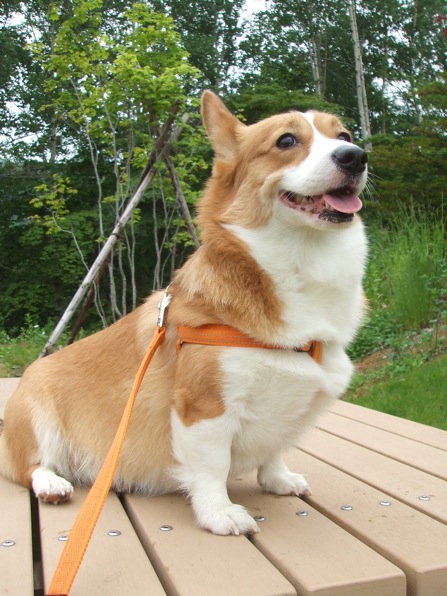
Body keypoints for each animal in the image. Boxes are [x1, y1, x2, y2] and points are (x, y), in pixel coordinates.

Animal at [0, 91, 368, 535]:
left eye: (344, 135)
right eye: (286, 141)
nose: (356, 156)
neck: (301, 266)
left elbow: (274, 448)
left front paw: (278, 480)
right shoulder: (205, 407)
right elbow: (212, 467)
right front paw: (219, 513)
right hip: (37, 416)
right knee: (30, 467)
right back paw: (51, 483)